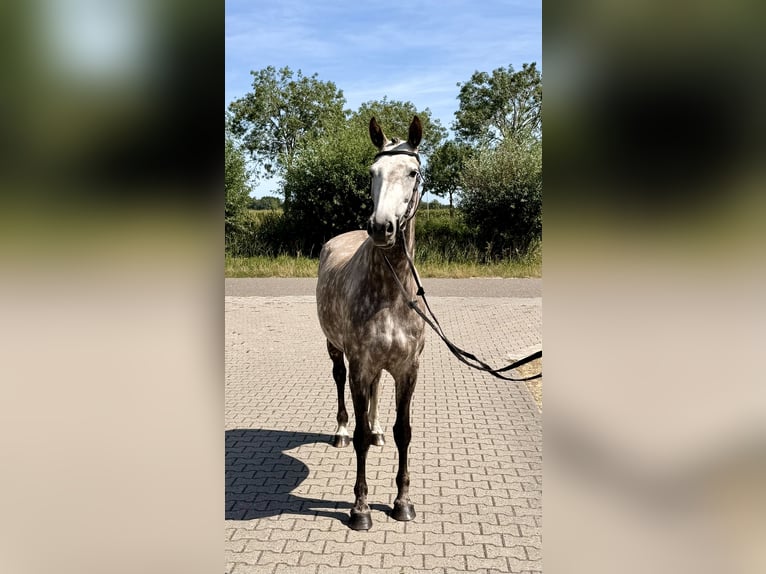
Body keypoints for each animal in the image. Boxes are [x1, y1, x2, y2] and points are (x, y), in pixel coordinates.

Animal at [316, 115, 425, 531]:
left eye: (412, 172)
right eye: (371, 173)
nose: (381, 227)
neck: (391, 293)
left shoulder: (407, 369)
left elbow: (403, 432)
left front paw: (402, 502)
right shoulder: (361, 364)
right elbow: (361, 436)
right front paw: (360, 508)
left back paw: (378, 431)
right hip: (336, 351)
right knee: (340, 386)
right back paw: (341, 431)